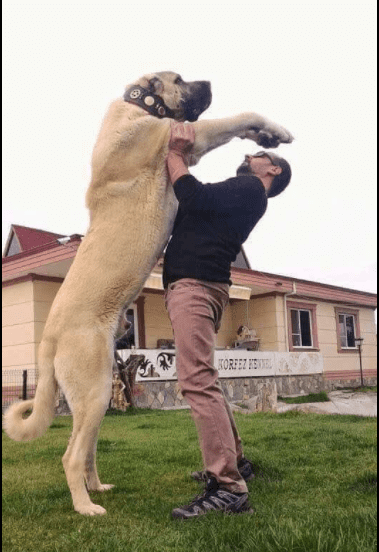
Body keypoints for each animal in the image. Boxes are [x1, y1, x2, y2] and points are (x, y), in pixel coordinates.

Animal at [3, 71, 294, 516]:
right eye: (180, 78)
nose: (209, 82)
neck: (139, 107)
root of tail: (48, 337)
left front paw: (268, 136)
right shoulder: (186, 138)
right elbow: (238, 116)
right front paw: (275, 129)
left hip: (97, 392)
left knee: (84, 447)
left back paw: (97, 487)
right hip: (94, 389)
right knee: (71, 454)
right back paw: (86, 507)